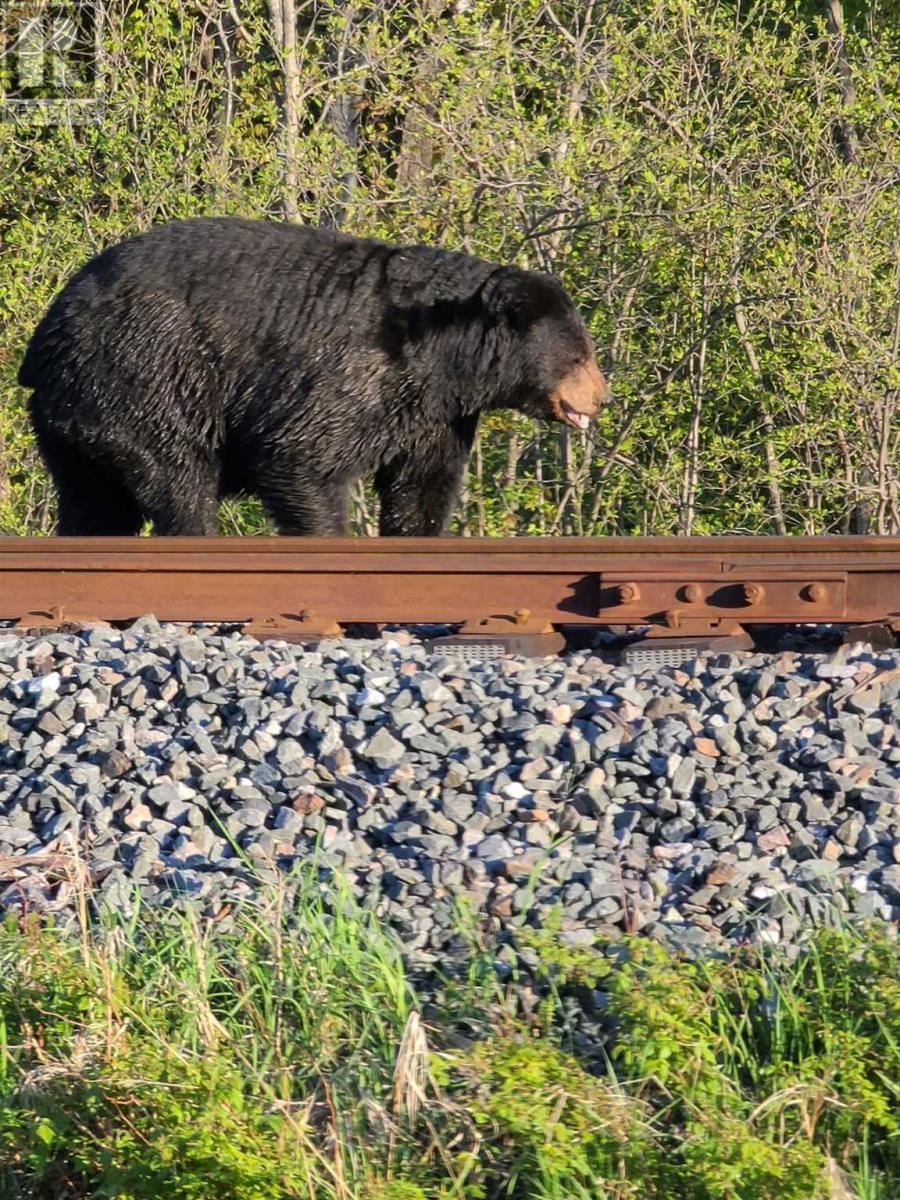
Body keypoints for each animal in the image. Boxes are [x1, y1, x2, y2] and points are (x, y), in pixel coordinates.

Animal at [17, 218, 609, 537]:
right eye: (580, 355)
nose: (600, 398)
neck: (443, 360)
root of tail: (48, 334)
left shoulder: (435, 414)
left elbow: (422, 486)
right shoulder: (353, 374)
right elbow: (303, 458)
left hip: (78, 418)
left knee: (94, 502)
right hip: (149, 371)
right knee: (178, 477)